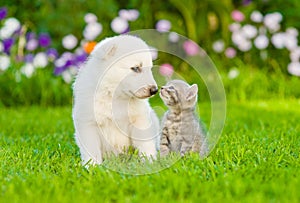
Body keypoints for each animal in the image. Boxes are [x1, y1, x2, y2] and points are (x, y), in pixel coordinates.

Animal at [72, 35, 159, 165]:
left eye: (150, 68)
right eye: (135, 68)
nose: (154, 90)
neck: (115, 95)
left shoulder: (139, 120)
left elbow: (145, 144)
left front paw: (149, 163)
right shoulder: (88, 124)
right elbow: (91, 149)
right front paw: (92, 166)